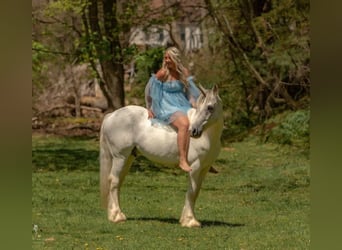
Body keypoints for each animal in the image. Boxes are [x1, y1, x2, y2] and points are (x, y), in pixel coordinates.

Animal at [99, 85, 222, 228]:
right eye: (199, 107)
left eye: (210, 107)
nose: (194, 131)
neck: (208, 137)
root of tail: (111, 115)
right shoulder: (195, 167)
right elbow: (192, 192)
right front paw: (190, 221)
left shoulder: (204, 168)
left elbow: (196, 192)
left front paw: (187, 219)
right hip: (120, 157)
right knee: (113, 181)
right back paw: (116, 216)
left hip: (128, 158)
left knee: (118, 182)